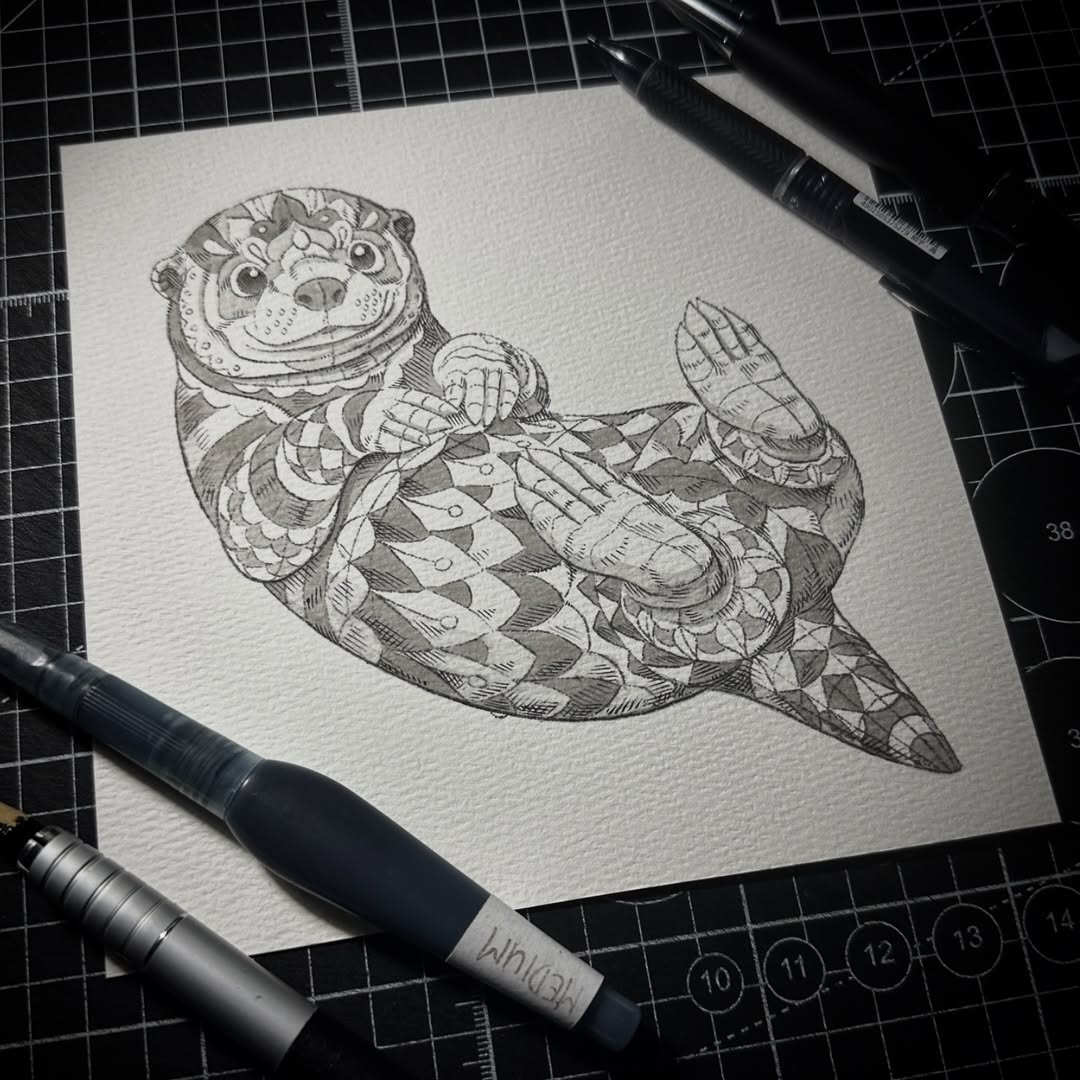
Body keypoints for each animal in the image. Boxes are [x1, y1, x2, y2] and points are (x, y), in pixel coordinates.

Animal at [152, 187, 959, 773]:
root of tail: (799, 609)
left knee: (812, 471)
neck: (354, 373)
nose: (321, 286)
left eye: (362, 252)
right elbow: (260, 501)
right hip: (639, 636)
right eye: (248, 277)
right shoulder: (215, 452)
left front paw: (476, 377)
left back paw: (746, 395)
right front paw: (390, 414)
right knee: (698, 594)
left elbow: (521, 374)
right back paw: (628, 533)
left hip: (681, 444)